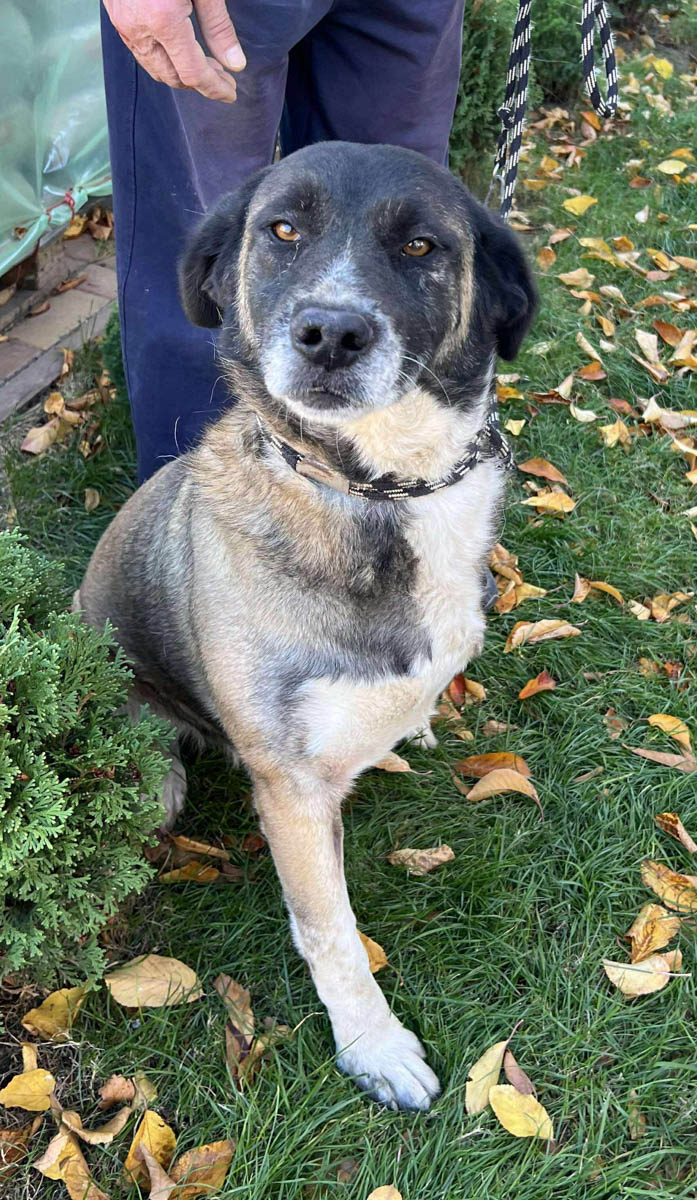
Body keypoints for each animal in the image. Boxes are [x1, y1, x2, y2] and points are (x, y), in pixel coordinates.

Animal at [77, 141, 536, 1111]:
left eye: (420, 245)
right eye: (282, 230)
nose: (330, 333)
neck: (384, 488)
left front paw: (420, 720)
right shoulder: (290, 790)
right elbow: (331, 933)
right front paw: (373, 1047)